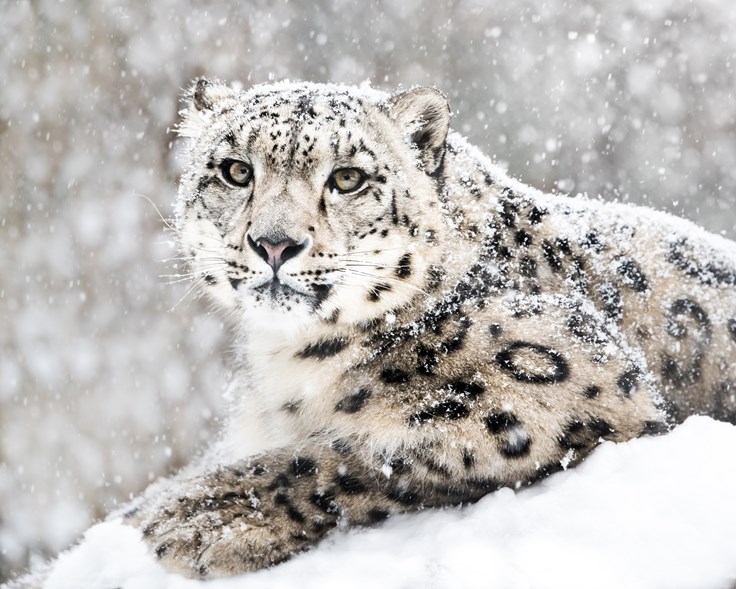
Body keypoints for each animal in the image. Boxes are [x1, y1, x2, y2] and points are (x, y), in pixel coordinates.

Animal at [121, 78, 736, 579]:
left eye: (348, 178)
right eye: (236, 171)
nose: (274, 243)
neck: (289, 361)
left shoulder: (571, 381)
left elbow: (367, 453)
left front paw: (203, 517)